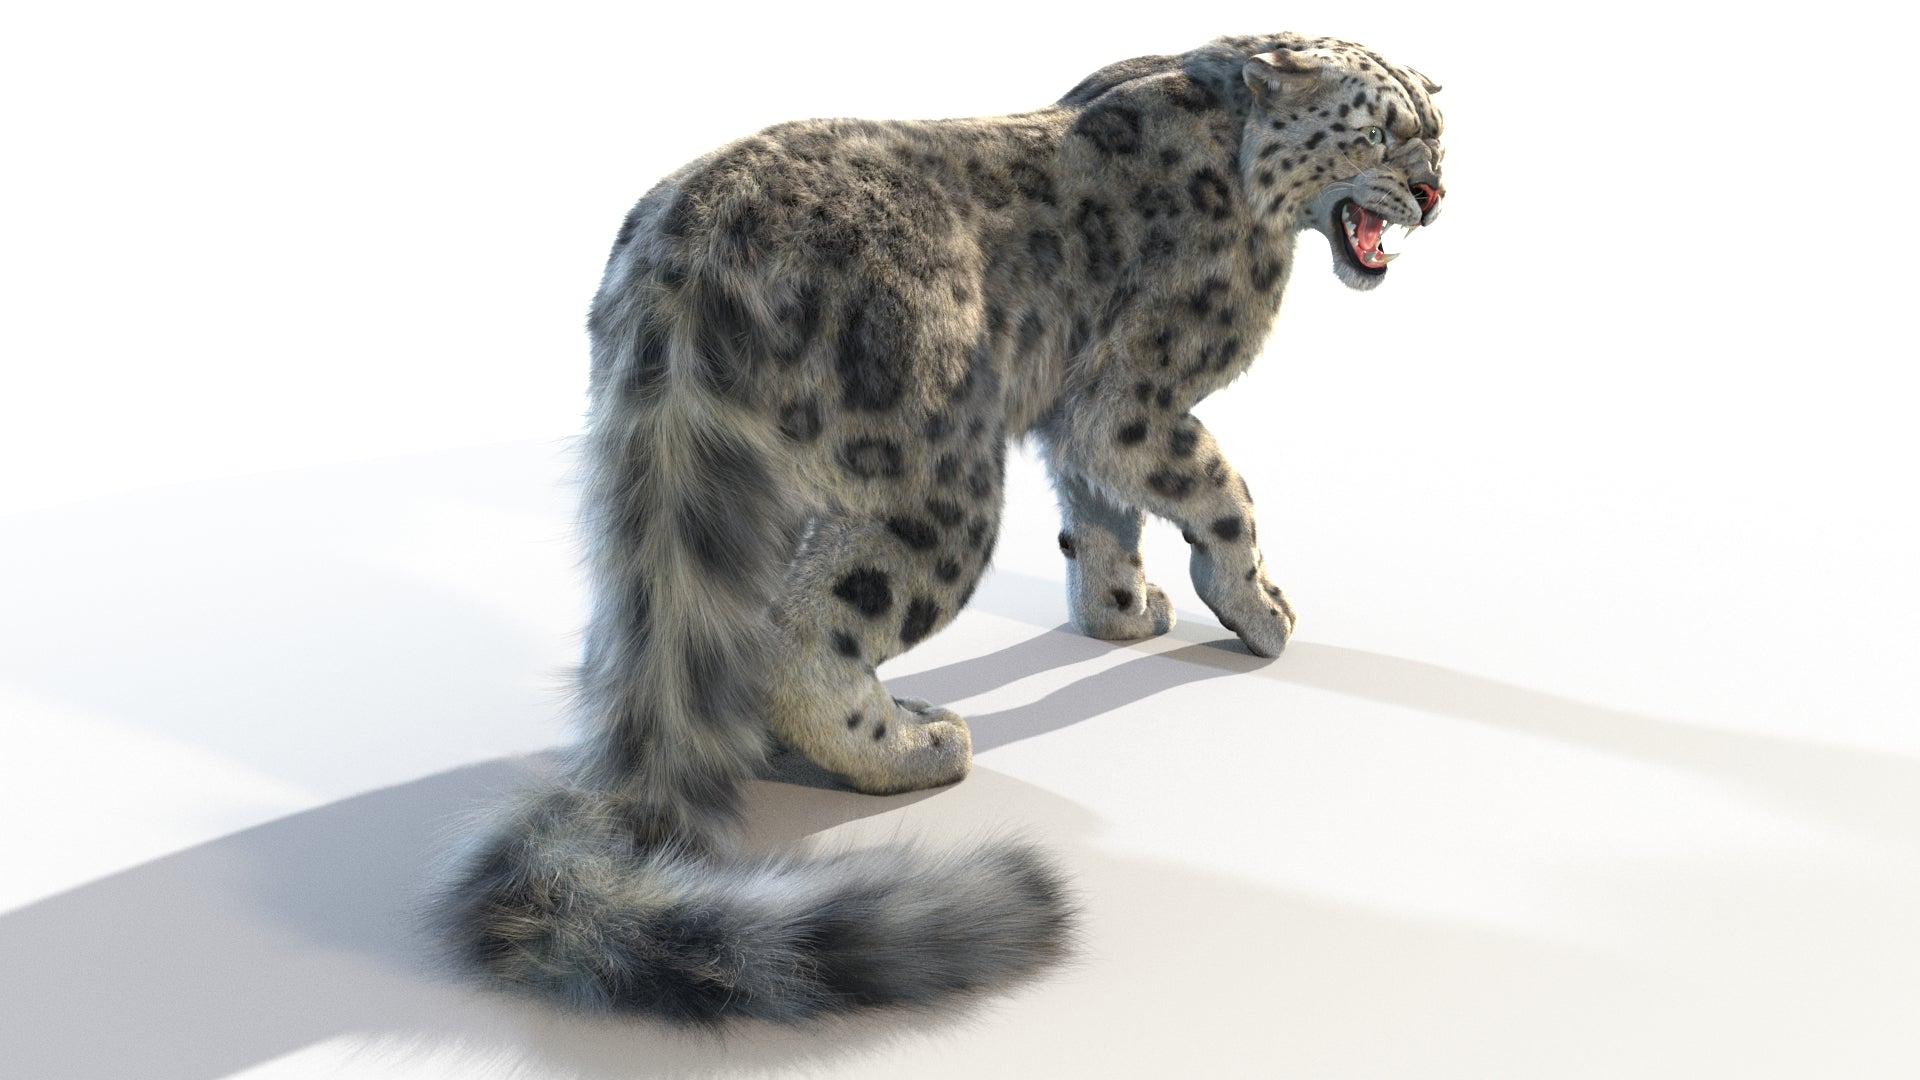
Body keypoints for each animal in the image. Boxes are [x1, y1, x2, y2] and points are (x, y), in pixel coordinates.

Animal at [442, 31, 1446, 1025]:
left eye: (1435, 137)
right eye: (1377, 133)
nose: (1435, 195)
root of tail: (686, 255)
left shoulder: (1080, 418)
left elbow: (1101, 516)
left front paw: (1124, 613)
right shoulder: (1130, 400)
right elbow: (1222, 494)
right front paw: (1261, 609)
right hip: (939, 485)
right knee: (806, 633)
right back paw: (915, 745)